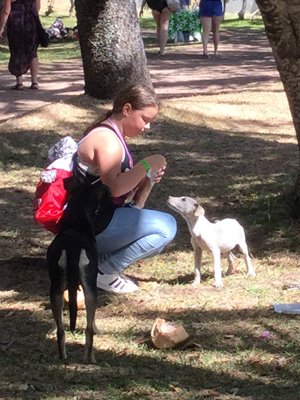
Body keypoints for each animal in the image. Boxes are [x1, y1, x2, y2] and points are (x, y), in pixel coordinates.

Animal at [45, 178, 109, 362]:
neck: (76, 220)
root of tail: (72, 247)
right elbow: (92, 322)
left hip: (56, 288)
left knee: (60, 330)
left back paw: (62, 358)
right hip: (90, 288)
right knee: (88, 330)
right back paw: (90, 360)